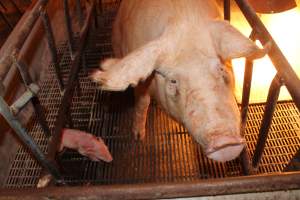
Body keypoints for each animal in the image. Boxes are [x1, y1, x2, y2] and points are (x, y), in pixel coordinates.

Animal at [90, 0, 268, 162]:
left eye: (220, 68)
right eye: (173, 81)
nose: (224, 141)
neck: (181, 20)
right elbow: (142, 101)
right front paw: (138, 137)